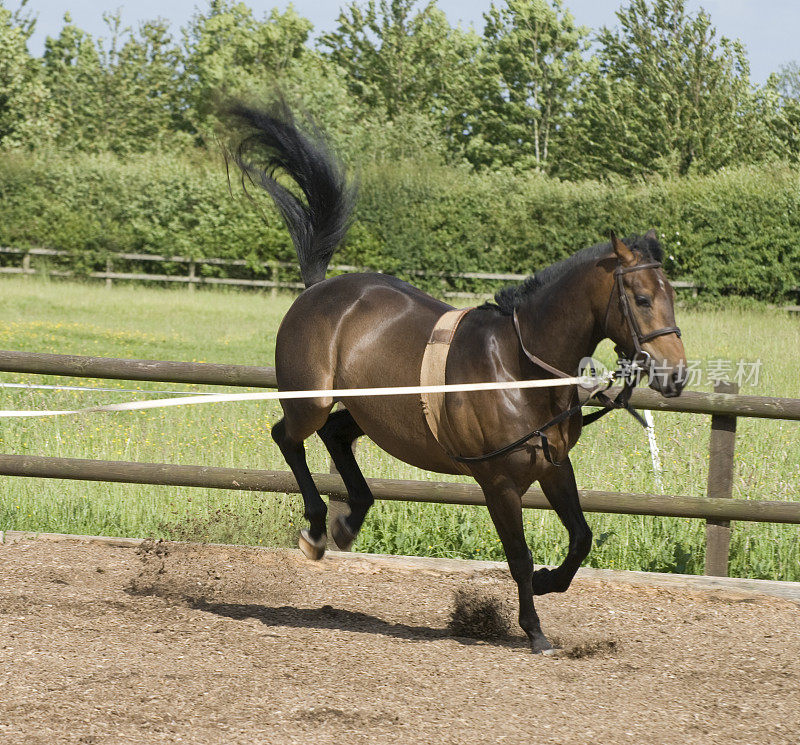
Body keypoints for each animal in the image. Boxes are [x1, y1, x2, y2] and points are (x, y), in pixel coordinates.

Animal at [227, 103, 688, 652]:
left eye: (672, 295)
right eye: (641, 298)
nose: (676, 374)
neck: (518, 371)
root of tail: (318, 289)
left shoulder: (554, 466)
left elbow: (581, 538)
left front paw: (548, 583)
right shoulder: (499, 483)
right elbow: (519, 556)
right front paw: (534, 629)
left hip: (373, 411)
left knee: (337, 435)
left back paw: (348, 519)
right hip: (310, 403)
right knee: (288, 436)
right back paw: (317, 529)